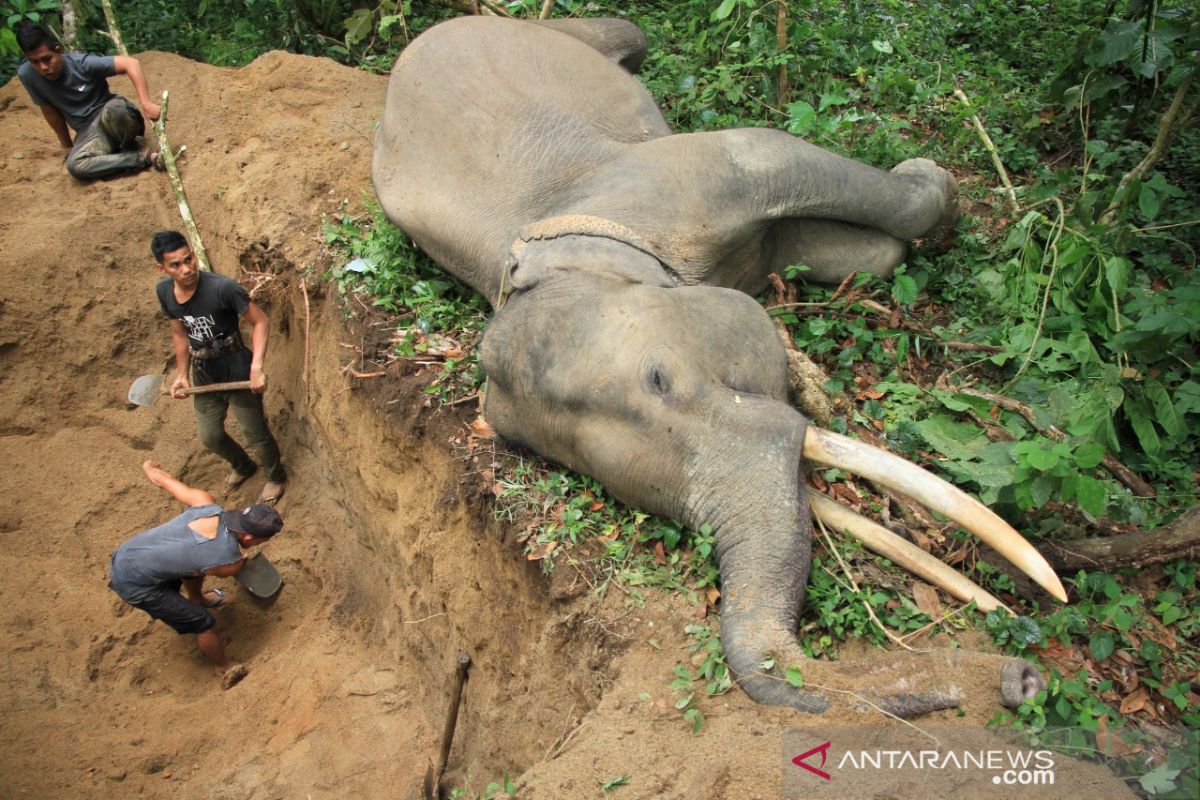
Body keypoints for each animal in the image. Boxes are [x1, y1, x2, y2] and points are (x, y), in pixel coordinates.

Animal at [369, 12, 1065, 714]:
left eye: (659, 379)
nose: (1022, 678)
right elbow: (857, 253)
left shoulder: (680, 183)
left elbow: (777, 163)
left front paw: (934, 185)